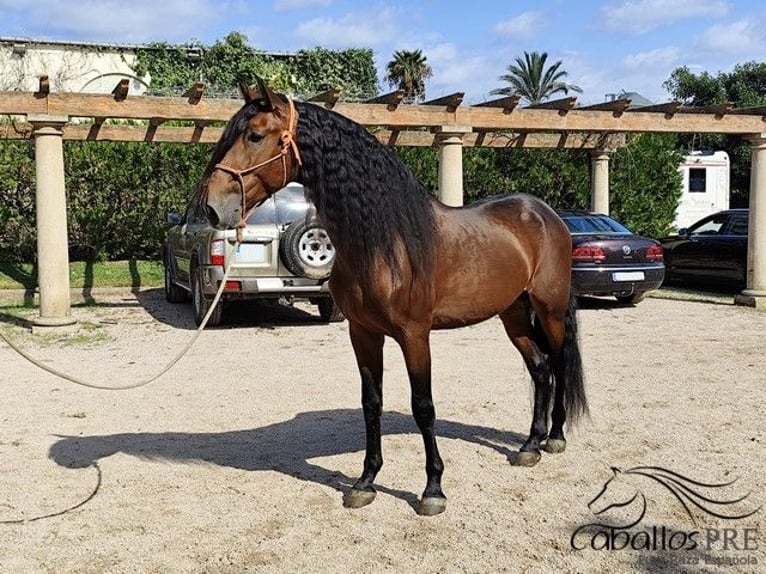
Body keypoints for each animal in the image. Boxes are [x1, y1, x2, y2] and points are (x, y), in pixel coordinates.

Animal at [201, 77, 587, 516]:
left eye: (254, 135)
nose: (213, 207)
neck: (386, 242)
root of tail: (547, 215)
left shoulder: (415, 336)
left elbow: (423, 406)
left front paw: (433, 488)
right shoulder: (363, 333)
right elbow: (372, 403)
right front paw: (365, 481)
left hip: (550, 309)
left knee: (559, 361)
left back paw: (555, 437)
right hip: (514, 314)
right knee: (540, 367)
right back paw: (529, 445)